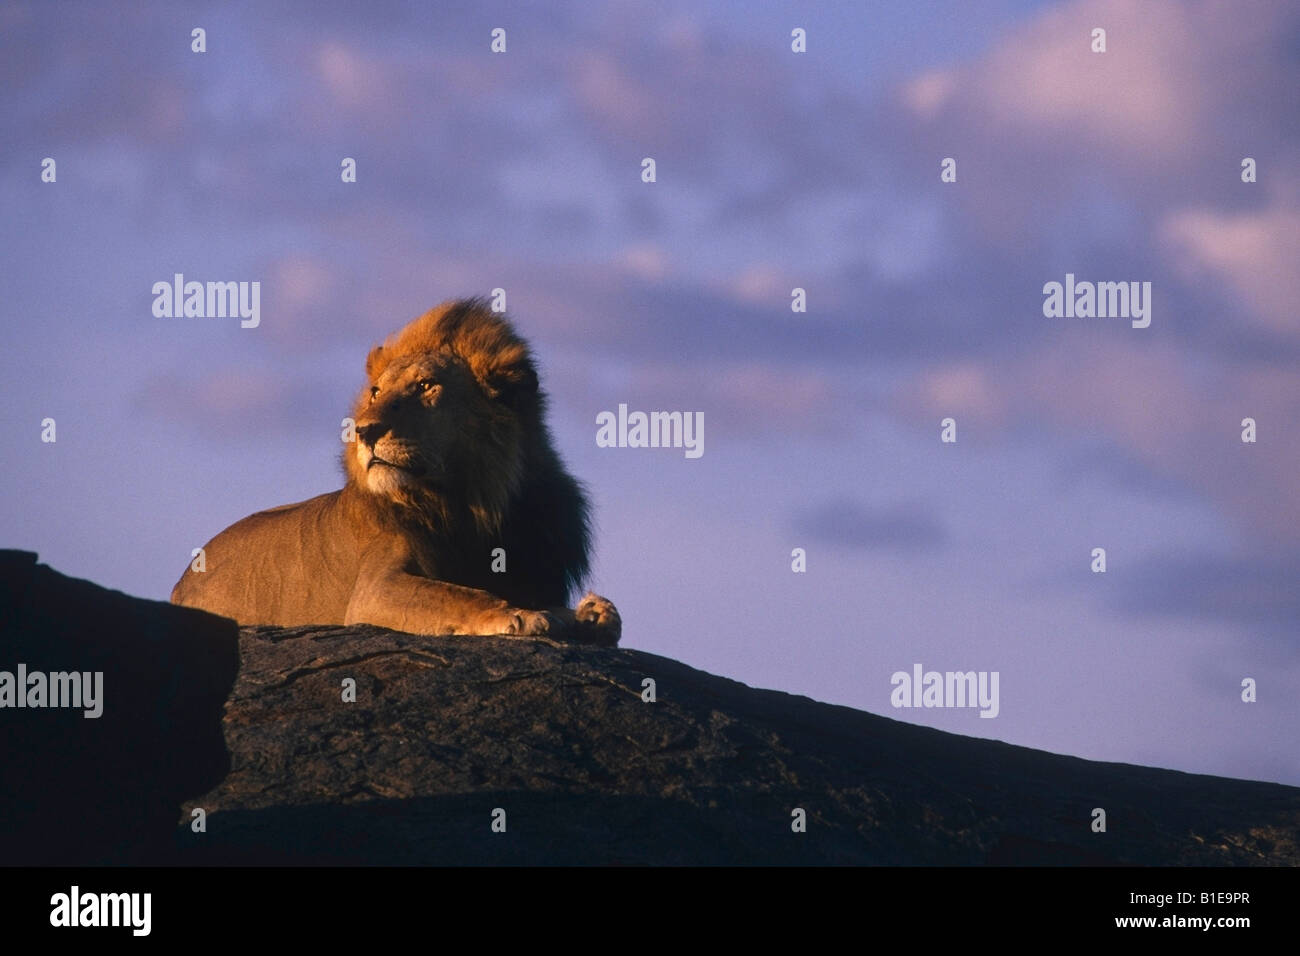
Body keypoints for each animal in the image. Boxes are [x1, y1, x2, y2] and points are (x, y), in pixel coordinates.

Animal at [171, 298, 620, 646]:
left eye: (426, 386)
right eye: (376, 392)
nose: (364, 431)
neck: (473, 505)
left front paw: (593, 614)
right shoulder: (374, 590)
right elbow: (457, 595)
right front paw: (521, 615)